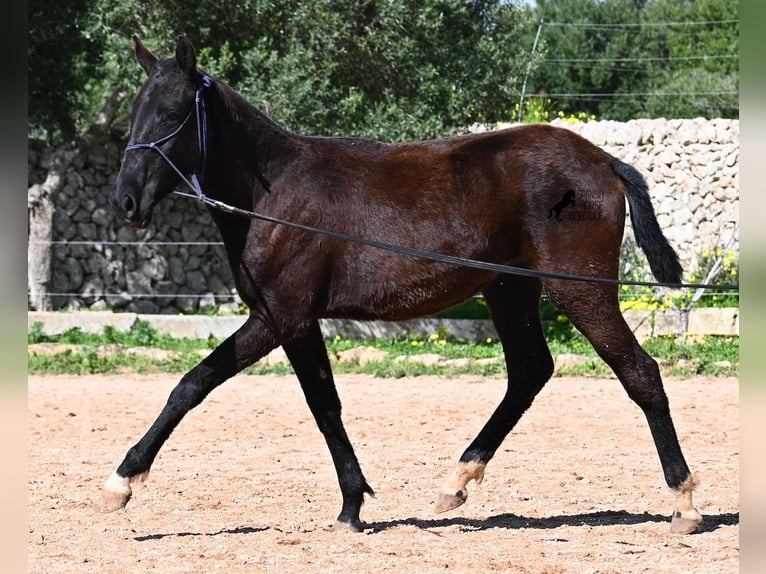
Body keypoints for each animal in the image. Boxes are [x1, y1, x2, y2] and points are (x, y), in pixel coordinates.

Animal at [105, 36, 704, 536]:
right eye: (133, 113)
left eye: (173, 114)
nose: (126, 202)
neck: (270, 196)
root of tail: (603, 161)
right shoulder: (291, 321)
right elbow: (306, 402)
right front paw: (352, 506)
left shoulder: (283, 317)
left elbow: (214, 388)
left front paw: (121, 483)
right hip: (509, 292)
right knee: (530, 372)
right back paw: (455, 483)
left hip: (579, 290)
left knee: (639, 372)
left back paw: (684, 503)